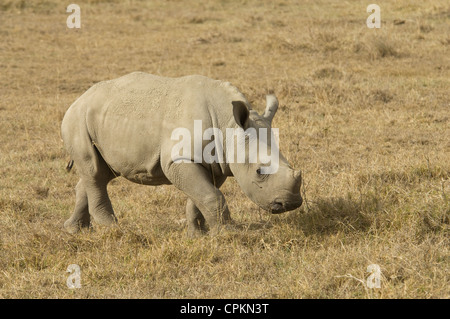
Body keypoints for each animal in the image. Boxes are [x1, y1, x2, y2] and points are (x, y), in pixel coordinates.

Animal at [61, 73, 302, 238]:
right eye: (260, 172)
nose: (290, 204)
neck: (229, 126)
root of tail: (78, 99)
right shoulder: (179, 160)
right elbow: (211, 195)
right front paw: (227, 234)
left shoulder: (217, 162)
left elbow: (201, 196)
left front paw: (198, 235)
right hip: (77, 118)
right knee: (94, 172)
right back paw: (114, 229)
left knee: (101, 173)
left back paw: (74, 230)